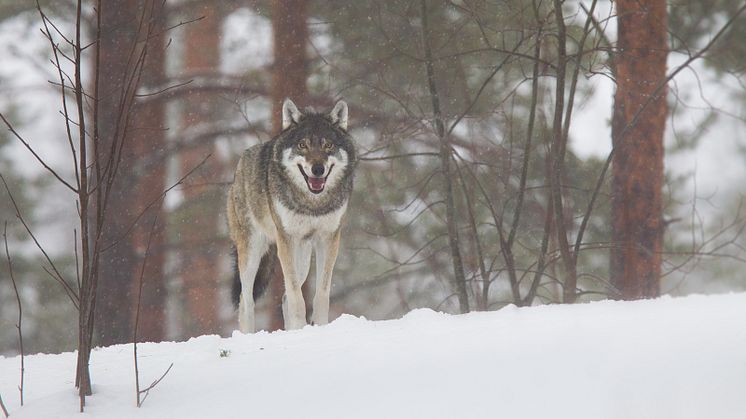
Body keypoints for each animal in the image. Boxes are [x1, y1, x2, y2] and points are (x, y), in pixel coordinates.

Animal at [225, 99, 356, 334]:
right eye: (303, 145)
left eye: (328, 146)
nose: (317, 169)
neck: (312, 204)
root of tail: (240, 165)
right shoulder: (286, 239)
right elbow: (297, 297)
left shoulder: (329, 239)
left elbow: (320, 294)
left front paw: (319, 326)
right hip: (253, 251)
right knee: (246, 299)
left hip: (302, 255)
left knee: (285, 297)